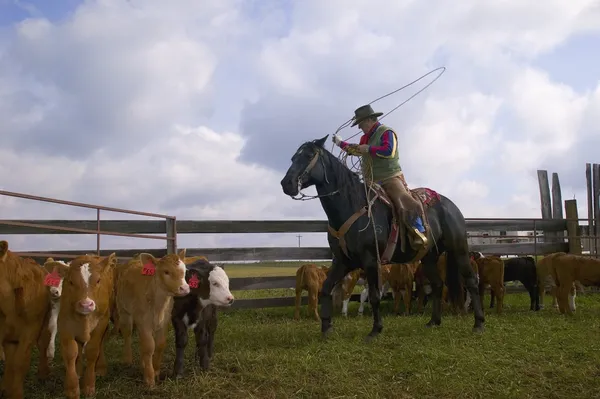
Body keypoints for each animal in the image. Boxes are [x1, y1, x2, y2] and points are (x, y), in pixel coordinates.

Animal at [0, 241, 51, 399]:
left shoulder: (30, 330)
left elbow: (19, 362)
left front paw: (16, 393)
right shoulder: (6, 334)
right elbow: (10, 361)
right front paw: (5, 389)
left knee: (43, 345)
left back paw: (43, 374)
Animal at [115, 253, 190, 388]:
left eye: (184, 270)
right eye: (166, 271)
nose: (185, 288)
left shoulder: (165, 322)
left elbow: (159, 344)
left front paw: (155, 371)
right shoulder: (144, 323)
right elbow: (149, 347)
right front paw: (149, 379)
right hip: (123, 309)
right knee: (127, 333)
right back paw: (127, 359)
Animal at [282, 136, 488, 342]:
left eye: (309, 155)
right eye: (292, 158)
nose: (286, 184)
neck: (352, 206)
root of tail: (451, 206)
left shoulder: (371, 261)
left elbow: (374, 296)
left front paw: (375, 329)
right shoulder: (342, 261)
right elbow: (326, 289)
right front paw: (326, 328)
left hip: (459, 250)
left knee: (471, 281)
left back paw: (478, 323)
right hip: (429, 257)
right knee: (438, 284)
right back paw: (433, 321)